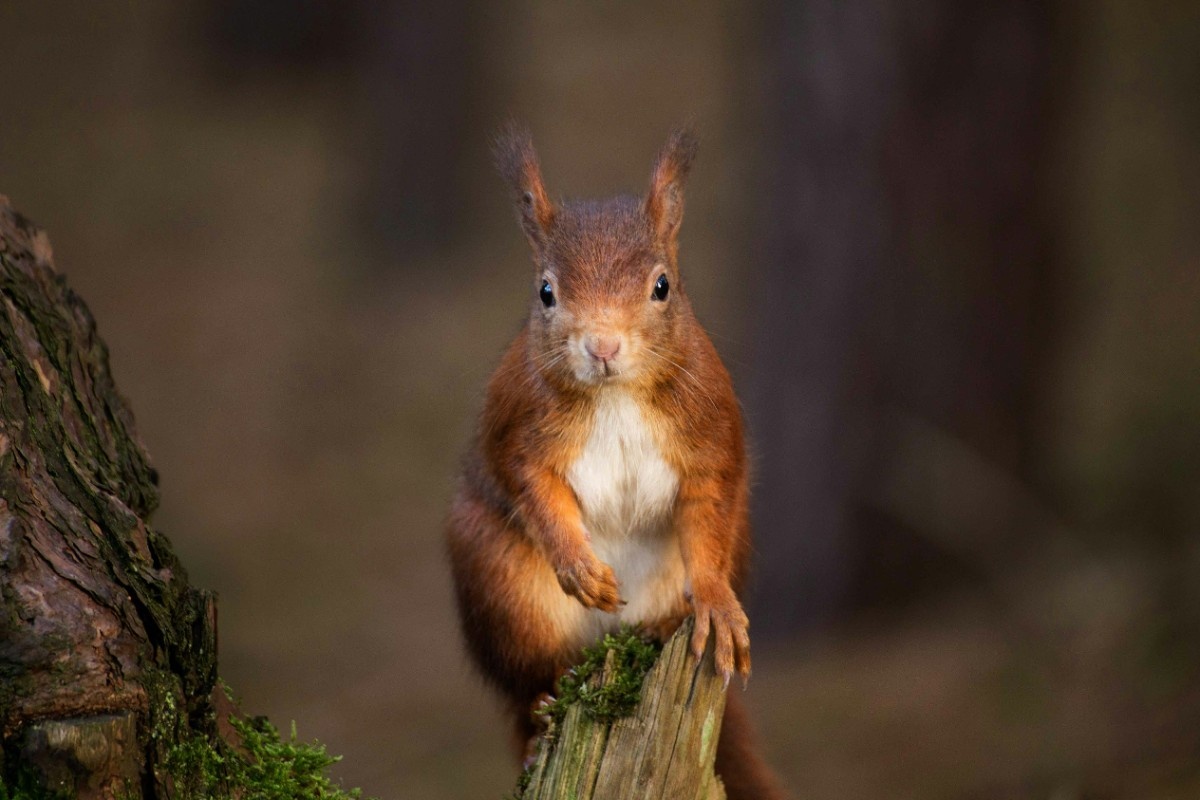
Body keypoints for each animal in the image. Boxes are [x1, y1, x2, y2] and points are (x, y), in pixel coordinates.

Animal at [446, 125, 782, 800]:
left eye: (663, 286)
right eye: (546, 291)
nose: (602, 345)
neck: (616, 395)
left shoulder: (710, 439)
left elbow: (708, 516)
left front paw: (715, 603)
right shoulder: (519, 431)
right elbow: (533, 488)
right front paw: (578, 565)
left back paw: (666, 625)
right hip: (499, 583)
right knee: (531, 686)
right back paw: (538, 722)